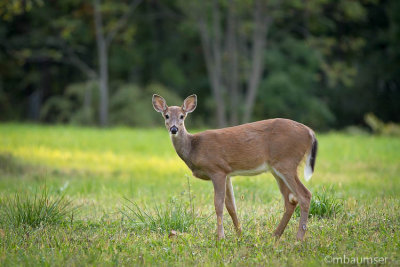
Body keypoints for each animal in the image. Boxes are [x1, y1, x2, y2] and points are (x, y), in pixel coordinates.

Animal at [152, 94, 318, 241]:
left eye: (182, 116)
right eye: (166, 116)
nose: (174, 129)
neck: (194, 148)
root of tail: (310, 132)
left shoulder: (217, 169)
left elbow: (218, 204)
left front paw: (221, 237)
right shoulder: (227, 173)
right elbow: (231, 206)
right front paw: (240, 235)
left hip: (287, 162)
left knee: (304, 195)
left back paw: (298, 238)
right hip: (277, 168)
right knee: (290, 201)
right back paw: (275, 235)